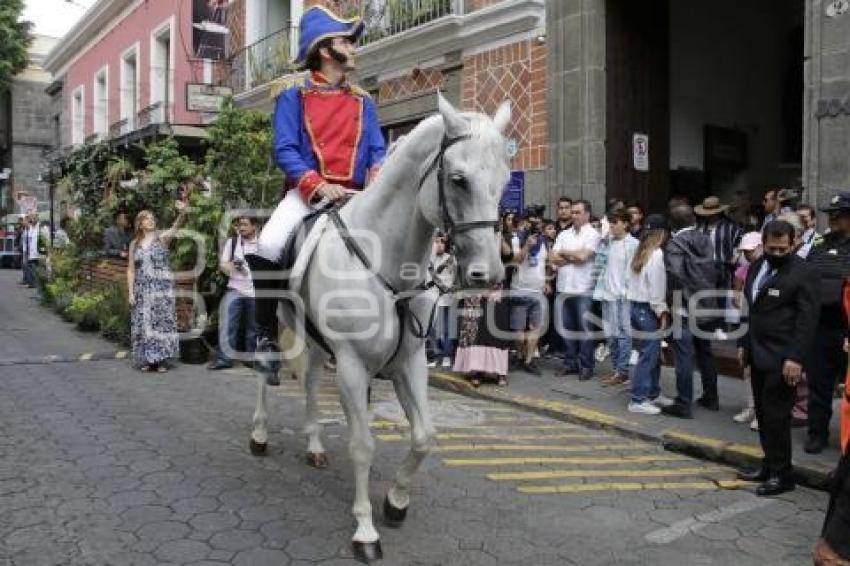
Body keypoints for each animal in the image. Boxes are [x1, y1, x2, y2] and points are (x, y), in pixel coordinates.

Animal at [247, 94, 510, 564]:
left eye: (506, 179)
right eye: (458, 179)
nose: (488, 274)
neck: (389, 264)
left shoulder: (409, 362)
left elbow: (424, 437)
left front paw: (396, 502)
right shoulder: (352, 366)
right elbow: (362, 446)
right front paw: (366, 531)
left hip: (317, 341)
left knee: (309, 382)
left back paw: (314, 447)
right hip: (276, 322)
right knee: (264, 370)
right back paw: (259, 434)